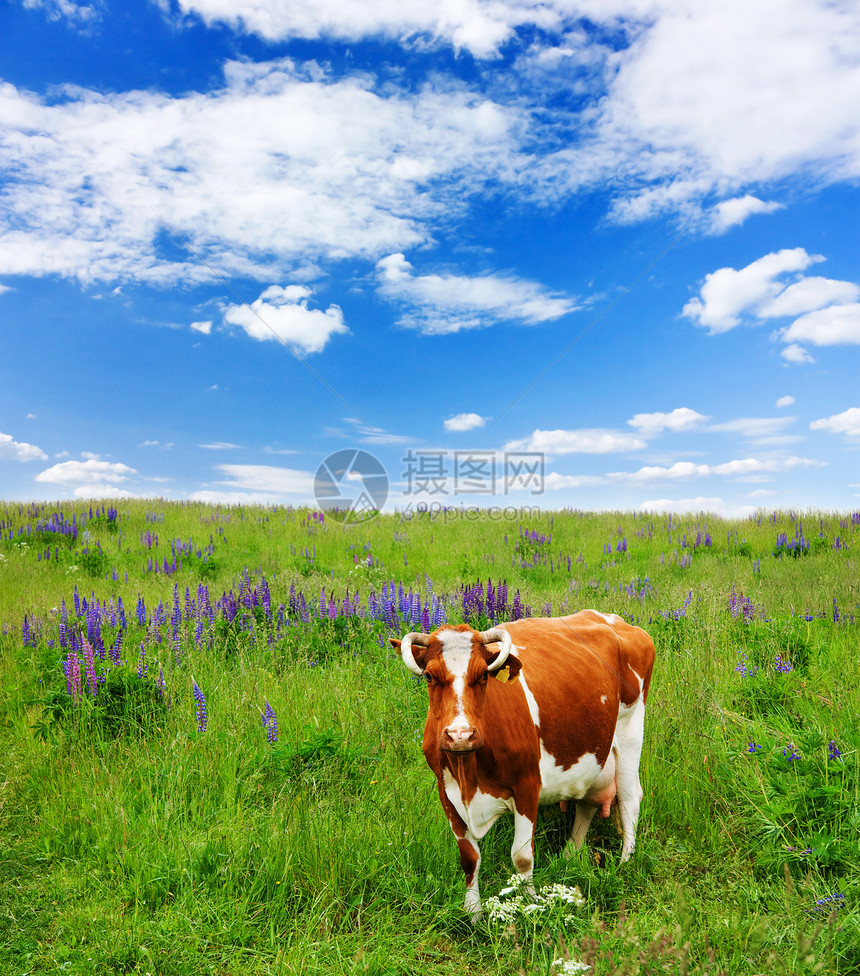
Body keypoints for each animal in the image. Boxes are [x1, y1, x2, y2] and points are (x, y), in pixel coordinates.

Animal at [394, 608, 656, 916]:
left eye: (483, 675)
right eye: (429, 677)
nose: (460, 735)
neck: (469, 775)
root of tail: (615, 620)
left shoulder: (527, 786)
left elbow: (522, 857)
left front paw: (529, 904)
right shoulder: (445, 792)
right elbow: (469, 857)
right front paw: (473, 913)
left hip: (630, 732)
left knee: (629, 799)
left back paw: (625, 862)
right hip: (594, 755)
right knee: (587, 803)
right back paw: (569, 858)